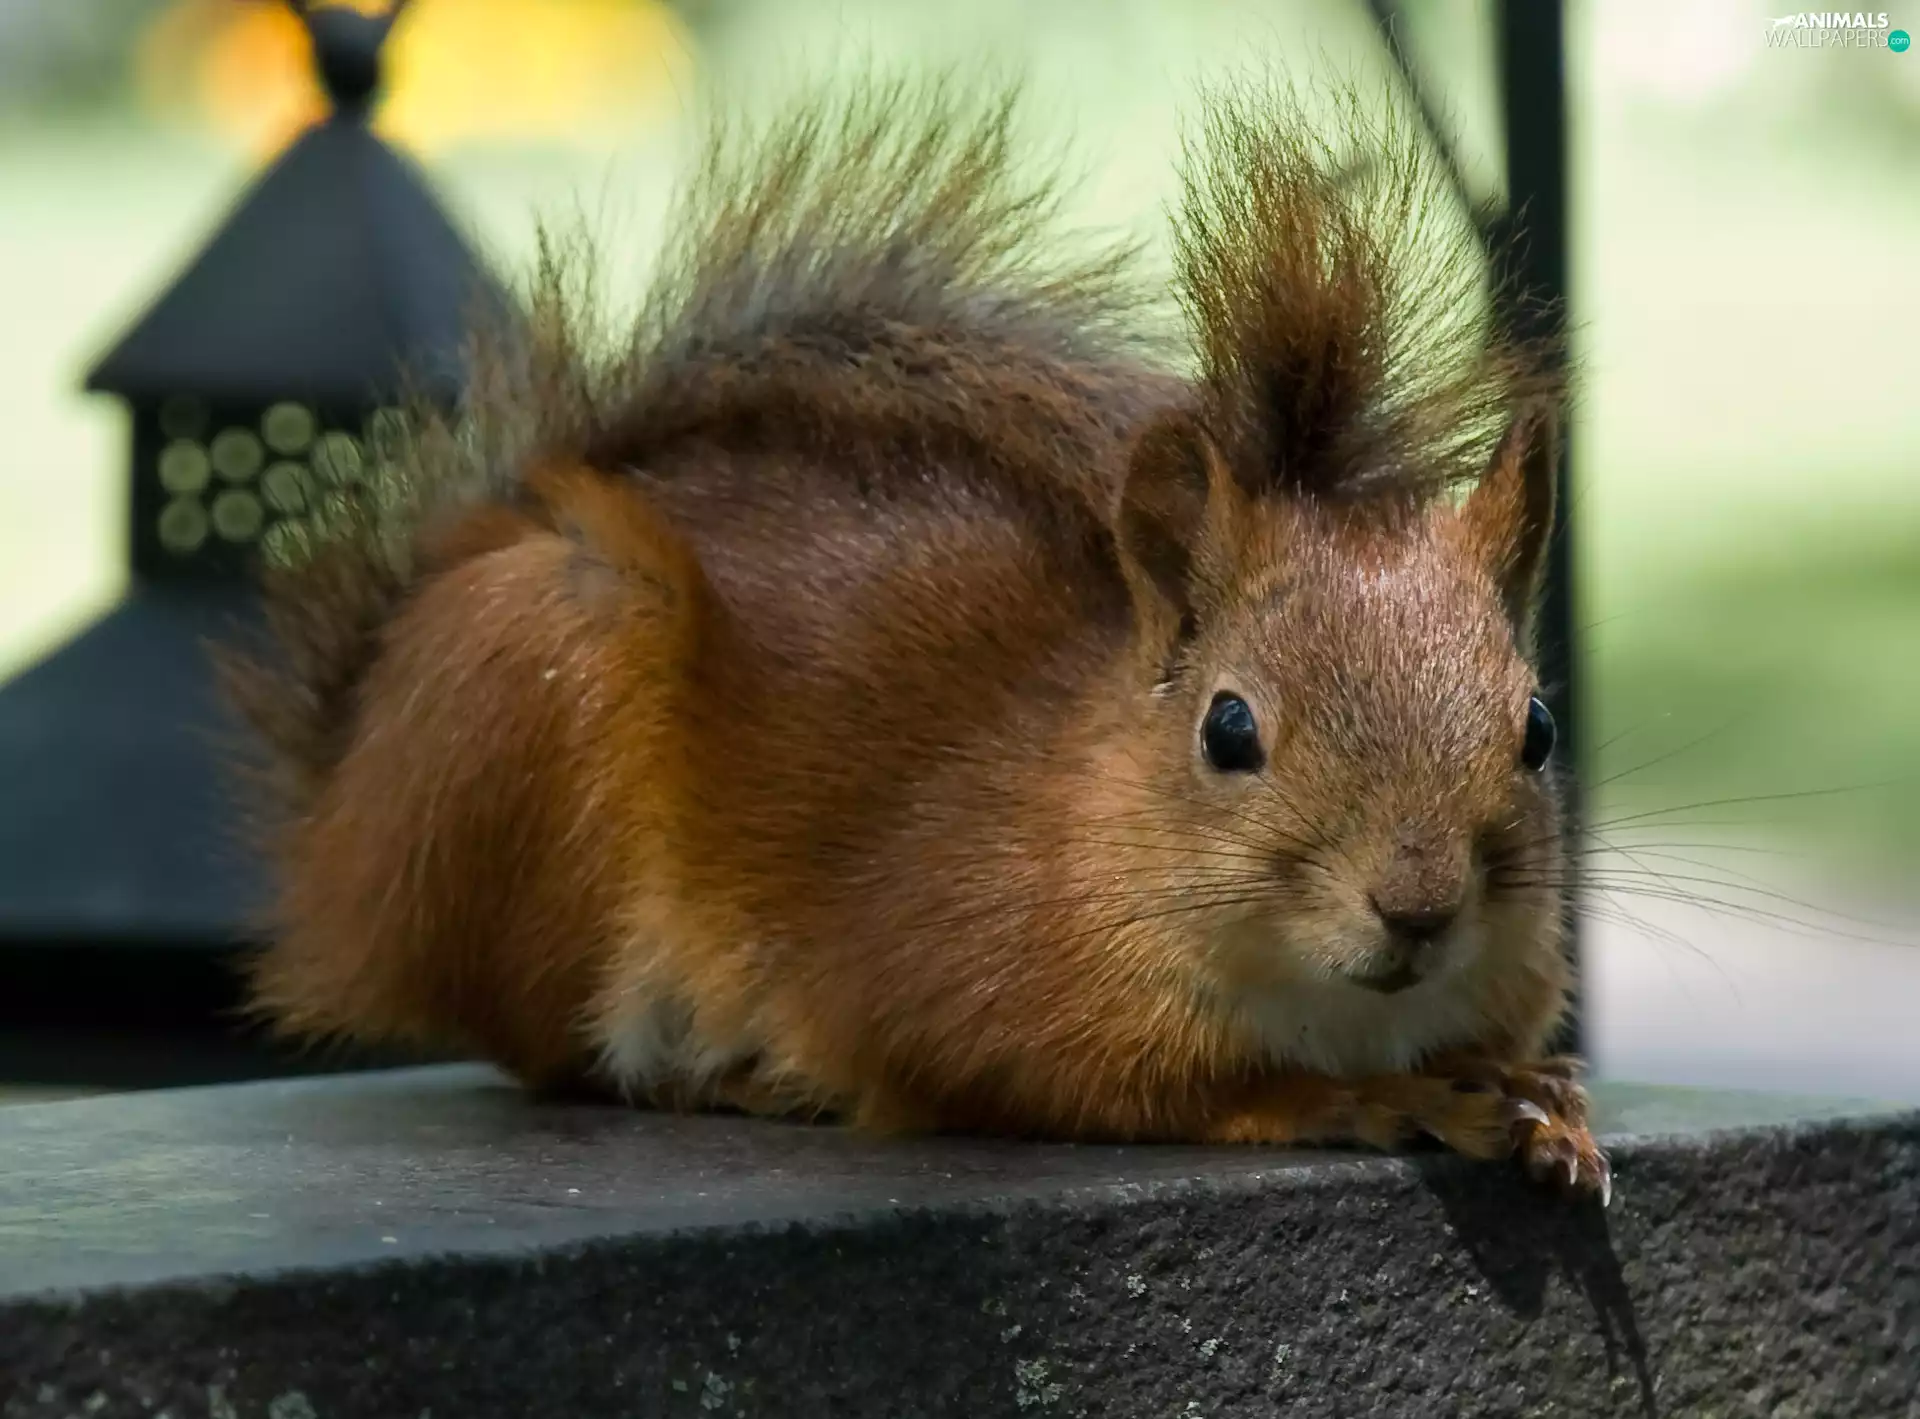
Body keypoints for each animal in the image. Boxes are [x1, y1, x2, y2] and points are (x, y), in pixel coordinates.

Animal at [217, 73, 1607, 1202]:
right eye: (1229, 730)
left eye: (1538, 728)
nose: (1418, 908)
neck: (1080, 797)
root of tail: (344, 824)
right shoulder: (960, 972)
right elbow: (1128, 1088)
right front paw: (1370, 1099)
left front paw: (1546, 1100)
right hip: (537, 715)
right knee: (565, 1057)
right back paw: (746, 1077)